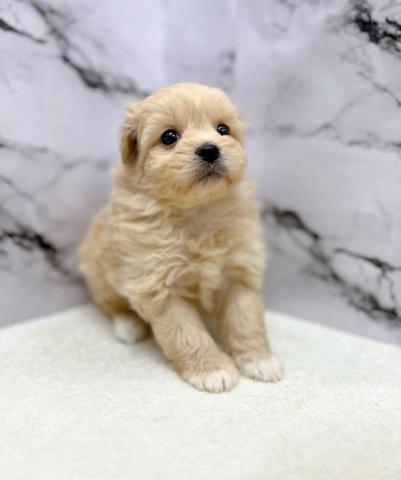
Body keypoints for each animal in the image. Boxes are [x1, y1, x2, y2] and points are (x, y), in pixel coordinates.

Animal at [79, 82, 283, 393]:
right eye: (169, 137)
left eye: (223, 129)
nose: (210, 149)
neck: (196, 211)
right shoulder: (158, 286)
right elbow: (187, 334)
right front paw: (211, 370)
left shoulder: (240, 273)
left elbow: (246, 321)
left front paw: (258, 360)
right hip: (101, 275)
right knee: (111, 304)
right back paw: (128, 325)